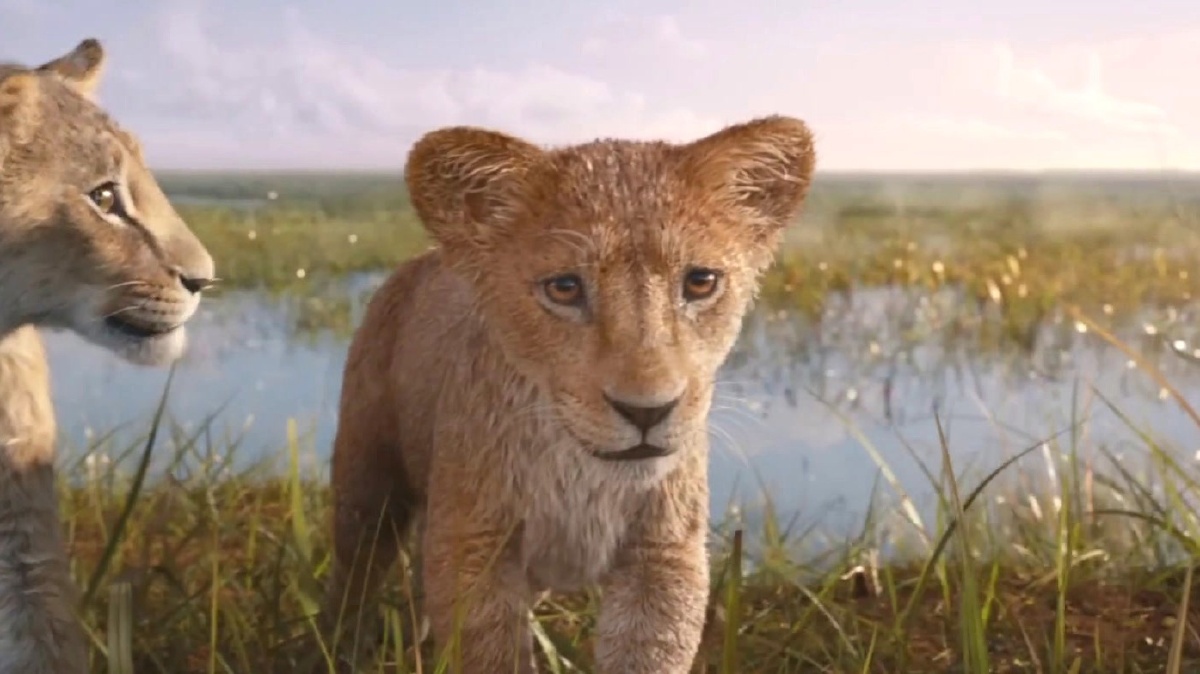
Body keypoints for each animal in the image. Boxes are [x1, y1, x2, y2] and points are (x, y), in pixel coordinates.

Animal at [316, 115, 815, 673]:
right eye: (564, 288)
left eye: (701, 282)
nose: (647, 411)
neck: (581, 474)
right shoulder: (474, 547)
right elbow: (489, 654)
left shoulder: (662, 554)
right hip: (367, 479)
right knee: (355, 571)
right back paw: (340, 645)